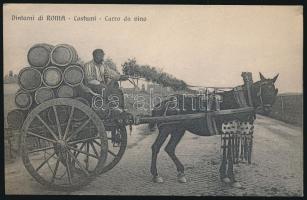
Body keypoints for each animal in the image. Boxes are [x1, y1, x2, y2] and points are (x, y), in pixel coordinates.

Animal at [148, 72, 280, 187]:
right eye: (262, 90)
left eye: (274, 90)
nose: (267, 109)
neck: (238, 103)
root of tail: (163, 103)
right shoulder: (231, 131)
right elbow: (230, 154)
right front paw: (233, 179)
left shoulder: (227, 133)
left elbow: (227, 153)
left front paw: (224, 176)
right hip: (166, 128)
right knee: (156, 147)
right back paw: (156, 175)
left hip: (178, 129)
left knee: (170, 148)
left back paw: (181, 173)